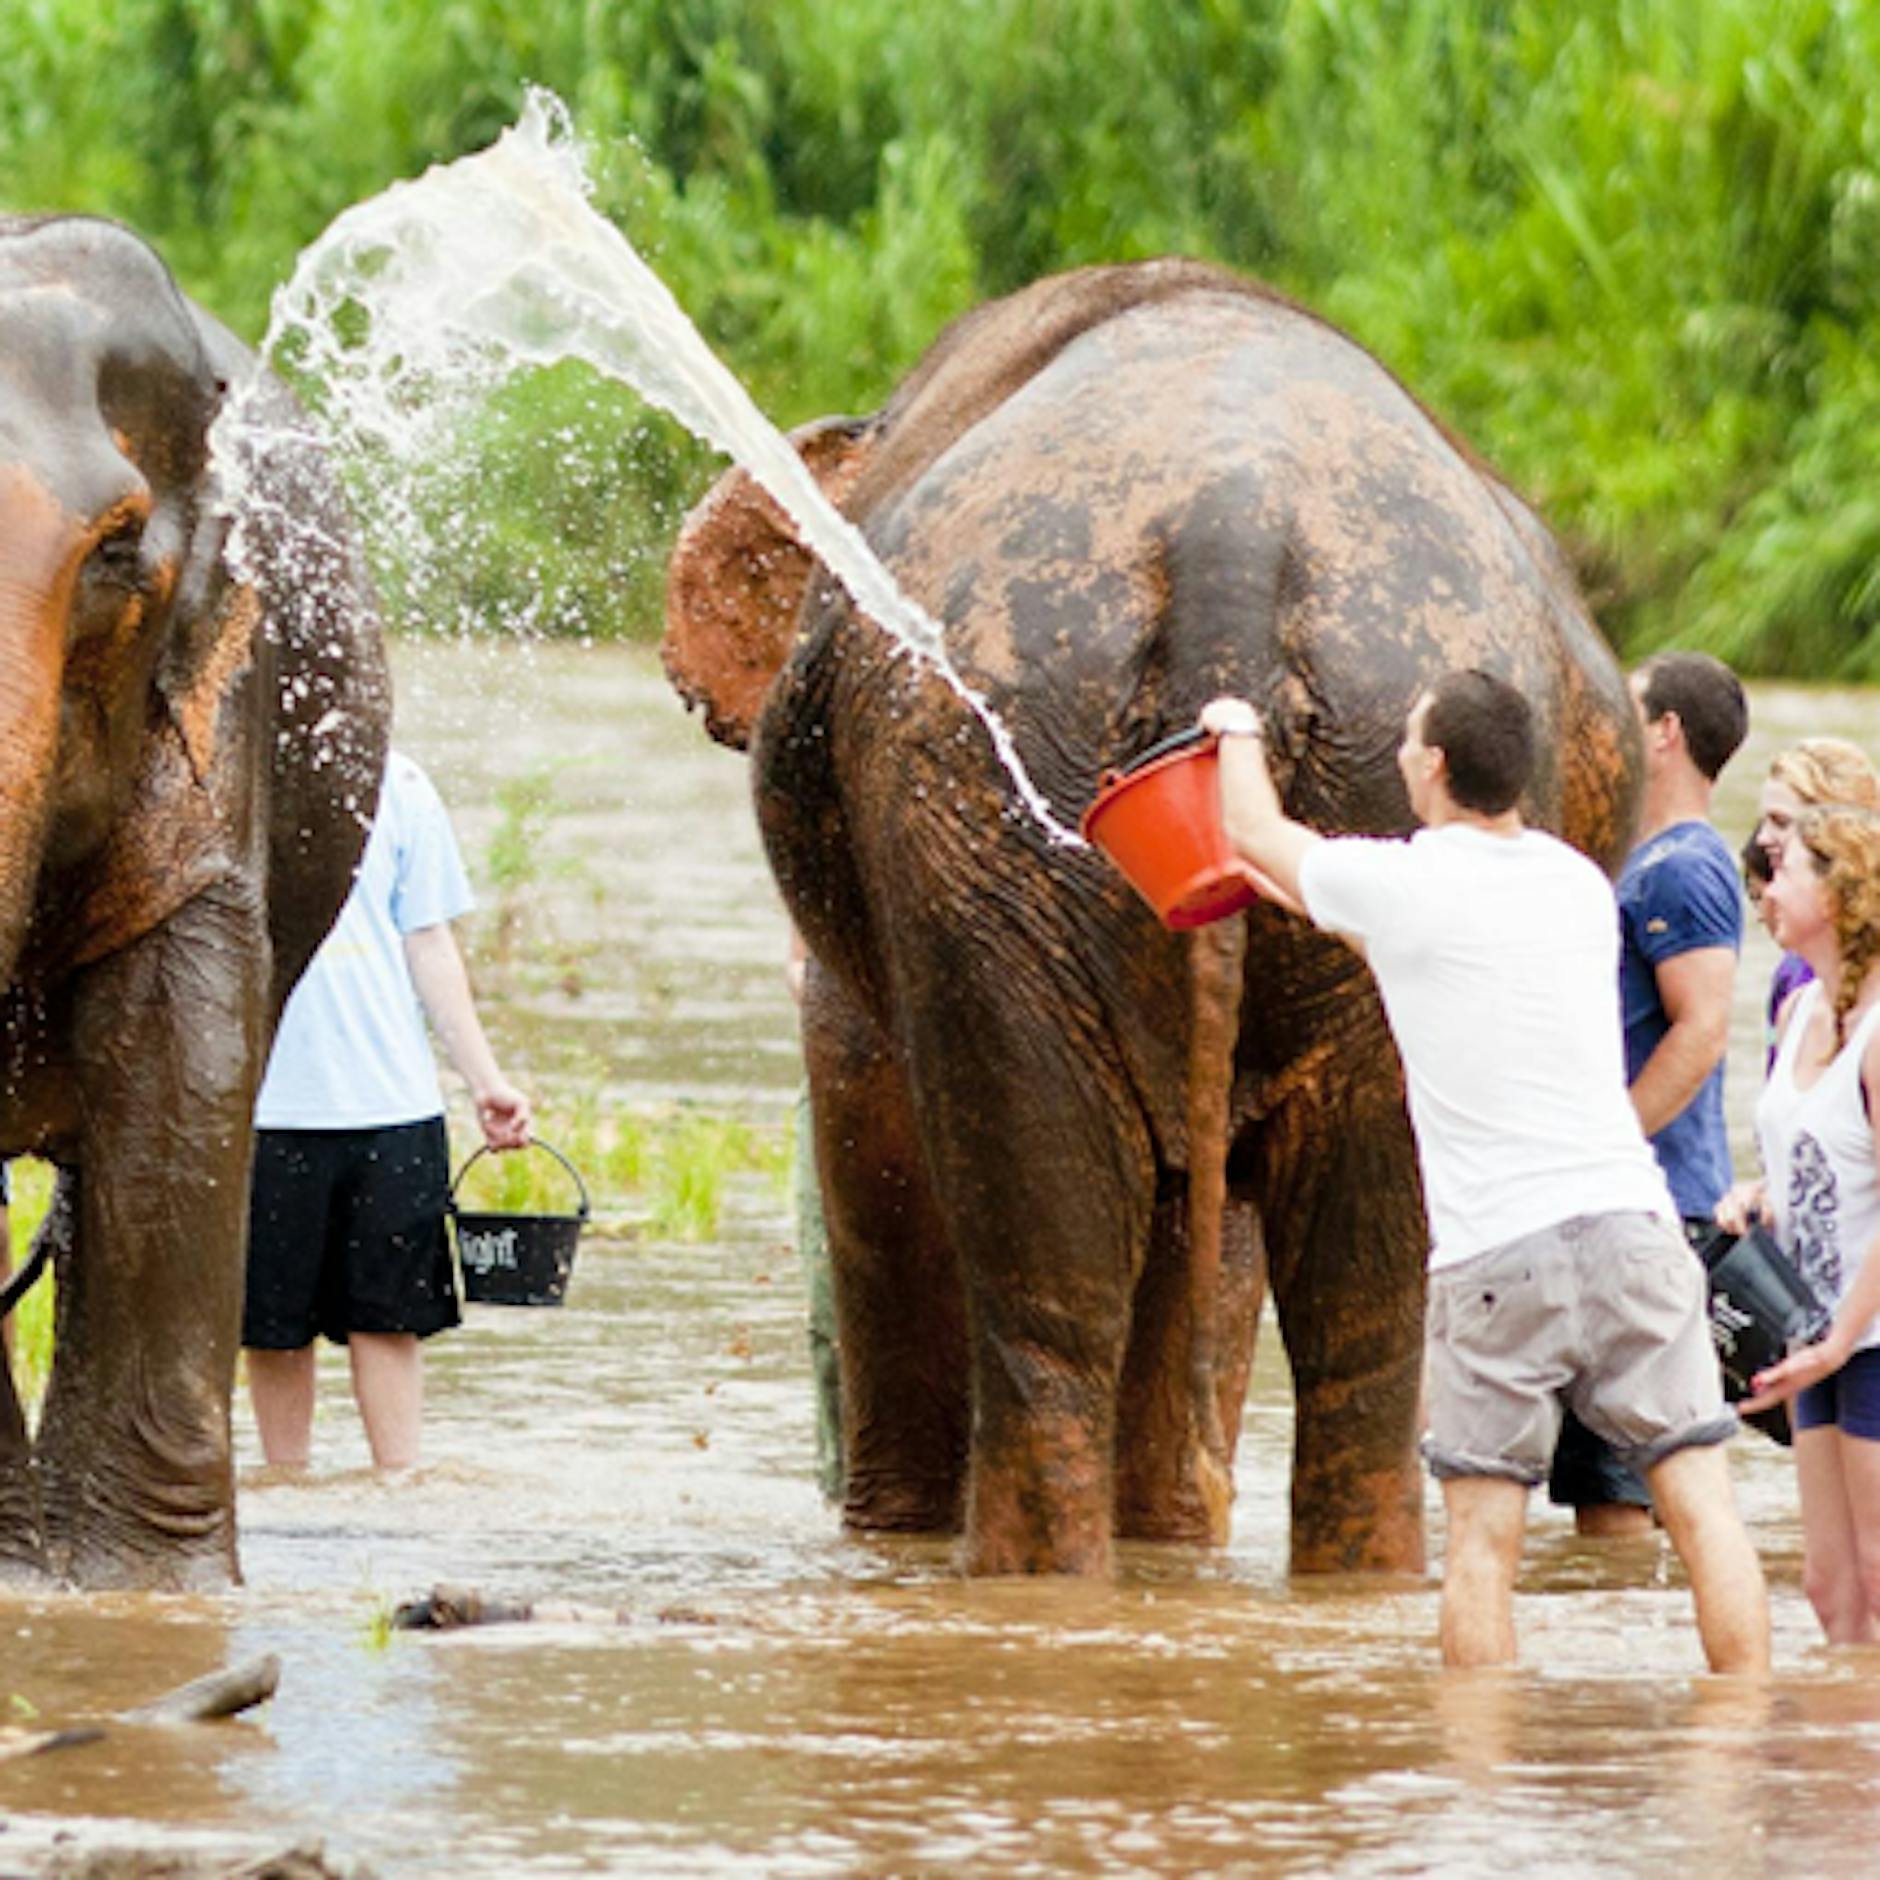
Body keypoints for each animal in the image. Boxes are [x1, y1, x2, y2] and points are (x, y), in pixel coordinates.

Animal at [663, 258, 1639, 1576]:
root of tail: (1232, 533)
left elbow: (869, 1121)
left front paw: (906, 1532)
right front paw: (1169, 1535)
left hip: (982, 812)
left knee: (1046, 1290)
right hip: (1344, 827)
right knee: (1360, 1311)